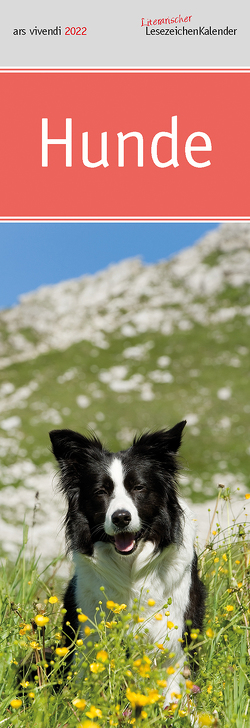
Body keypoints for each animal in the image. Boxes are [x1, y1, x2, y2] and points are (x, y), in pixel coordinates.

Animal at [49, 420, 205, 704]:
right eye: (101, 491)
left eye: (138, 488)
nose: (121, 517)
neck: (131, 568)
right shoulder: (88, 633)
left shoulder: (173, 638)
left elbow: (174, 693)